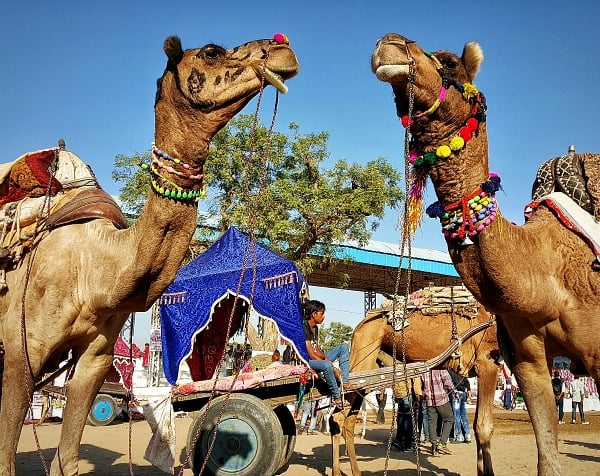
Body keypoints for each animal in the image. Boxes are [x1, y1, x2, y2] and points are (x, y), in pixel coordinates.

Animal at [0, 34, 298, 476]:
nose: (282, 47)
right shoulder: (23, 352)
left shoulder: (96, 358)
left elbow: (67, 457)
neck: (98, 269)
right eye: (211, 51)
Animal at [330, 304, 500, 476]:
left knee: (346, 420)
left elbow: (478, 423)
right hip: (362, 357)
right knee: (339, 416)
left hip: (368, 369)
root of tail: (358, 327)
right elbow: (483, 427)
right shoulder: (487, 363)